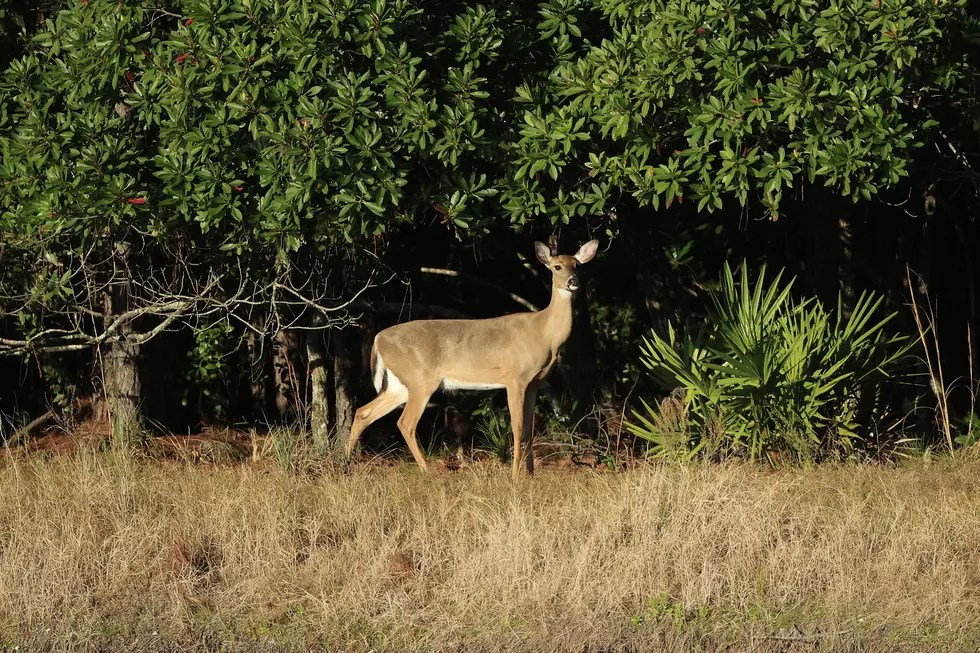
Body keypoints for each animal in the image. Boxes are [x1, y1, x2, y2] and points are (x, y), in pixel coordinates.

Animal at [345, 239, 599, 478]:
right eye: (557, 266)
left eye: (577, 265)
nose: (573, 281)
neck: (543, 333)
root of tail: (378, 339)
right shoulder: (514, 377)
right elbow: (517, 426)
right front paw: (515, 476)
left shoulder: (535, 381)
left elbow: (529, 428)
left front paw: (530, 475)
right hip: (420, 379)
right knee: (405, 422)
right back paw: (427, 471)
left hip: (400, 383)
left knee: (363, 413)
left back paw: (345, 467)